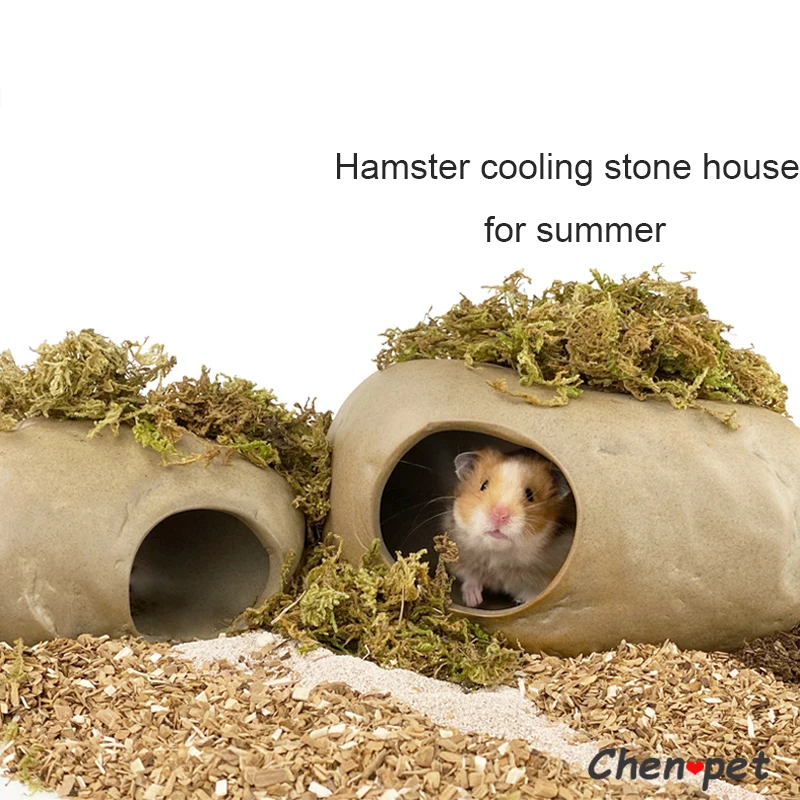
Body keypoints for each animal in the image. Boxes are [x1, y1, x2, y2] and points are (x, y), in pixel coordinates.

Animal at [446, 448, 575, 608]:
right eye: (483, 485)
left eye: (530, 495)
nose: (499, 515)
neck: (498, 555)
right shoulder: (460, 554)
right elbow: (470, 576)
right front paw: (473, 602)